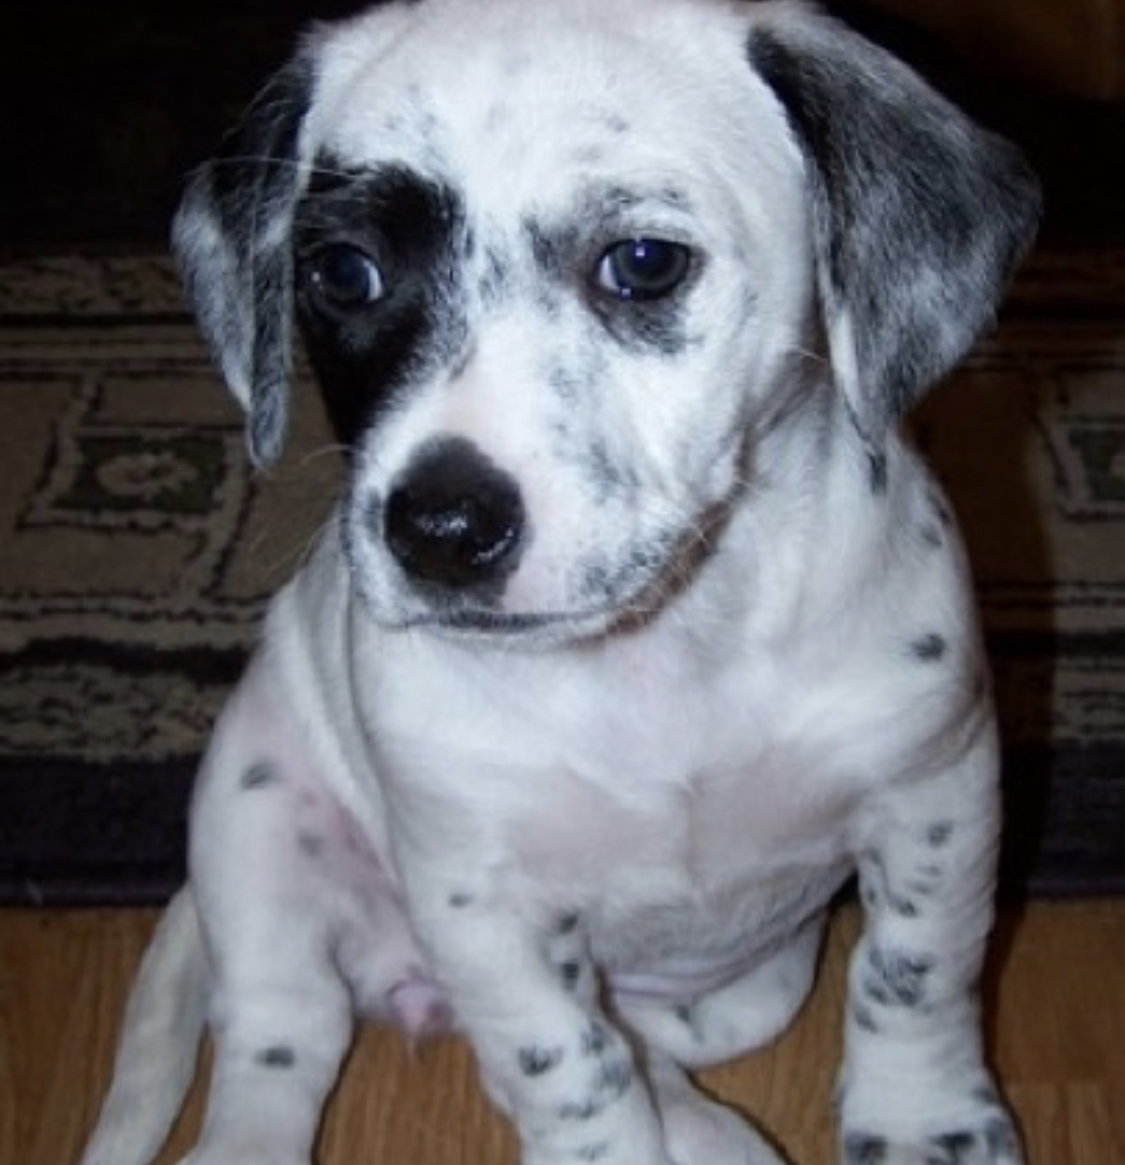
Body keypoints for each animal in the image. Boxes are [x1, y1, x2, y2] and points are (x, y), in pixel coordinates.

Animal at [83, 2, 1043, 1165]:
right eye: (344, 273)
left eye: (643, 262)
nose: (441, 530)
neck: (668, 654)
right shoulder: (482, 904)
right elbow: (567, 1069)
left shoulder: (938, 793)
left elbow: (915, 977)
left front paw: (919, 1119)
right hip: (254, 822)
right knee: (281, 1040)